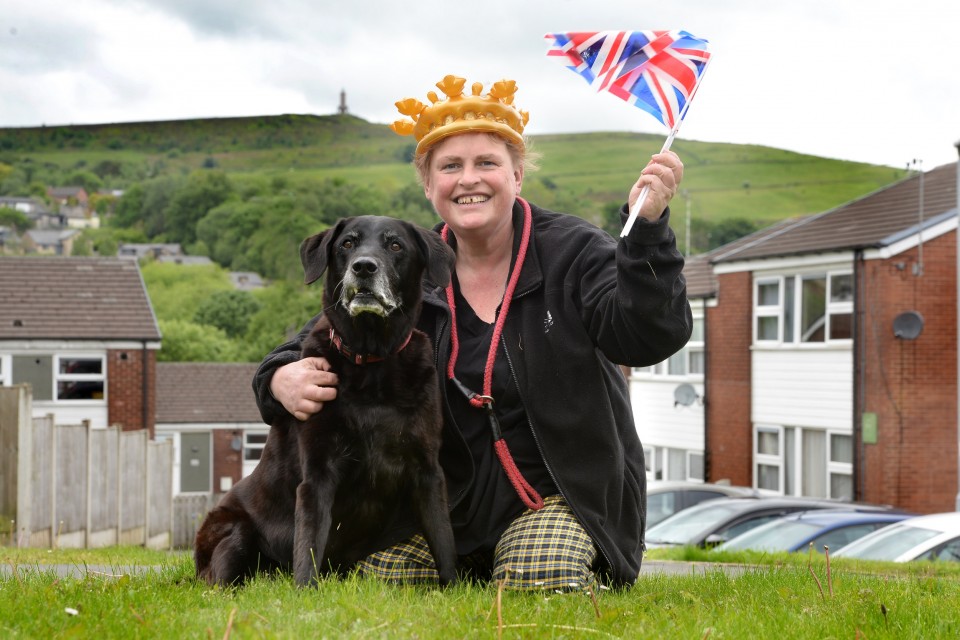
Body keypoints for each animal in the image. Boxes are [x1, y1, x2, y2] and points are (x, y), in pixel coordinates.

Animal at [194, 215, 458, 584]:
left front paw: (454, 586)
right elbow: (309, 543)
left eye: (395, 245)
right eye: (347, 243)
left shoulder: (427, 470)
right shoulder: (318, 474)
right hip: (236, 532)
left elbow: (444, 540)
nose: (364, 267)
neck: (372, 363)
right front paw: (305, 591)